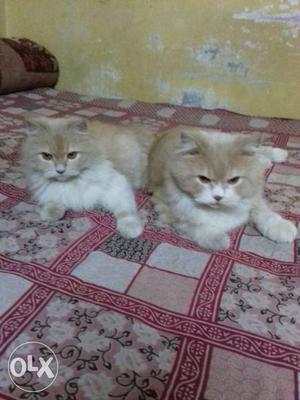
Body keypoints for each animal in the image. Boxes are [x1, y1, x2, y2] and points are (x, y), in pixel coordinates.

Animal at [149, 127, 296, 250]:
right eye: (203, 179)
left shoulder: (253, 197)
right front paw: (218, 239)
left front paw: (281, 228)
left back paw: (278, 154)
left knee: (259, 151)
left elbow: (264, 213)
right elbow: (195, 225)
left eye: (234, 180)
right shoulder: (167, 209)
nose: (218, 197)